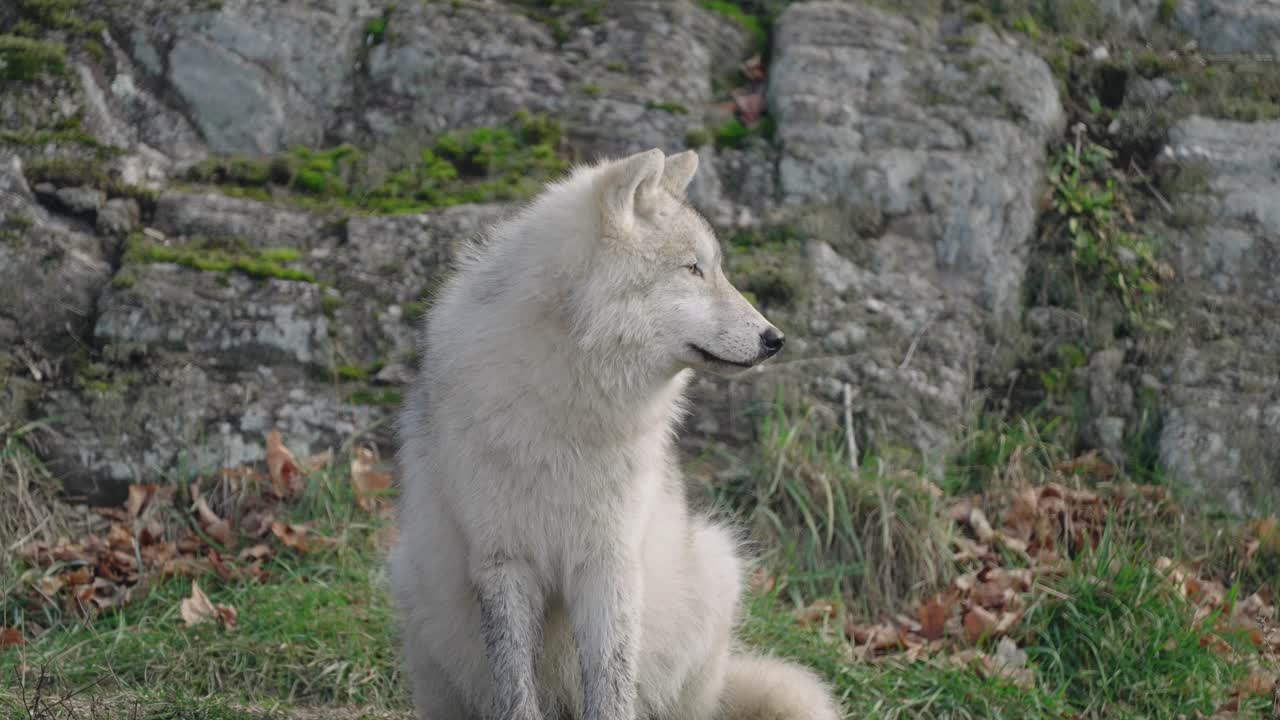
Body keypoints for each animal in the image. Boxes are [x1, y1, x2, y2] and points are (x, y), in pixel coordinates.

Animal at [390, 147, 843, 720]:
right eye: (693, 269)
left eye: (714, 269)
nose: (775, 338)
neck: (569, 401)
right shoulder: (504, 562)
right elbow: (515, 689)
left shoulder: (609, 561)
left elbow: (610, 683)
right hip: (415, 592)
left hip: (716, 567)